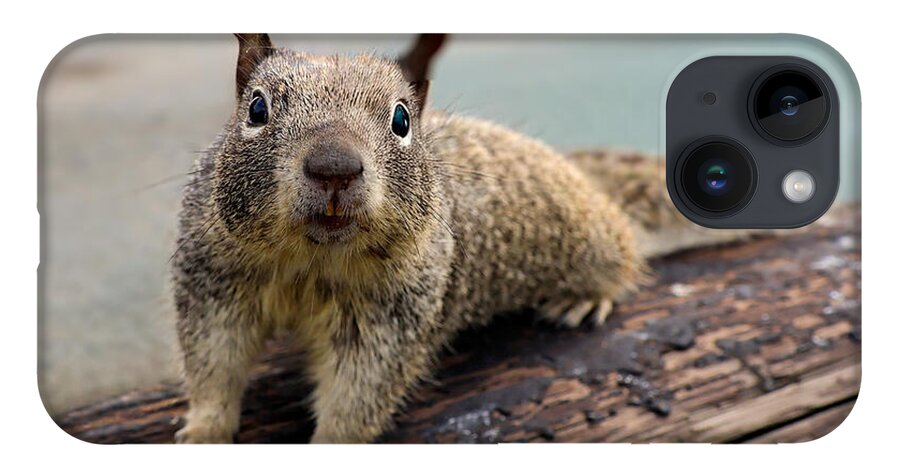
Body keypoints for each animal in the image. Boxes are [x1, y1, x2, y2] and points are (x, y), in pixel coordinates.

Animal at [172, 33, 738, 443]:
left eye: (402, 119)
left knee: (622, 254)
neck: (312, 261)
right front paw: (203, 432)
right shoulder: (214, 282)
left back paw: (585, 297)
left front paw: (330, 443)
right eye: (257, 109)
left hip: (592, 238)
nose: (334, 167)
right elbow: (214, 365)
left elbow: (358, 395)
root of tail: (582, 176)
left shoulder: (391, 316)